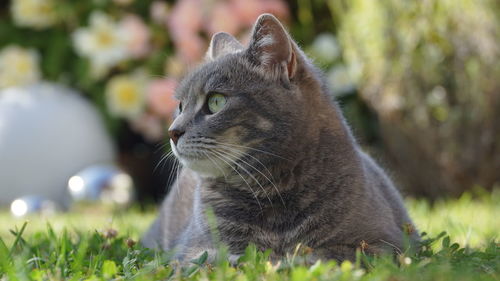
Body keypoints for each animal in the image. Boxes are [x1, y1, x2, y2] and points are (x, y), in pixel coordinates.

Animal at [143, 13, 420, 262]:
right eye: (180, 106)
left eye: (216, 101)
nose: (172, 131)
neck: (270, 191)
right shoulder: (196, 250)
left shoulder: (382, 244)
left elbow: (319, 254)